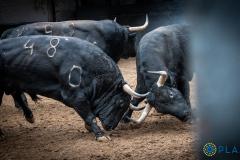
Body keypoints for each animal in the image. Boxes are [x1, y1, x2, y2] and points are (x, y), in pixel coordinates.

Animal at [0, 35, 150, 141]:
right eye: (120, 103)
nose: (111, 126)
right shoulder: (76, 97)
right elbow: (90, 116)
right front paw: (101, 135)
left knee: (16, 94)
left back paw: (30, 116)